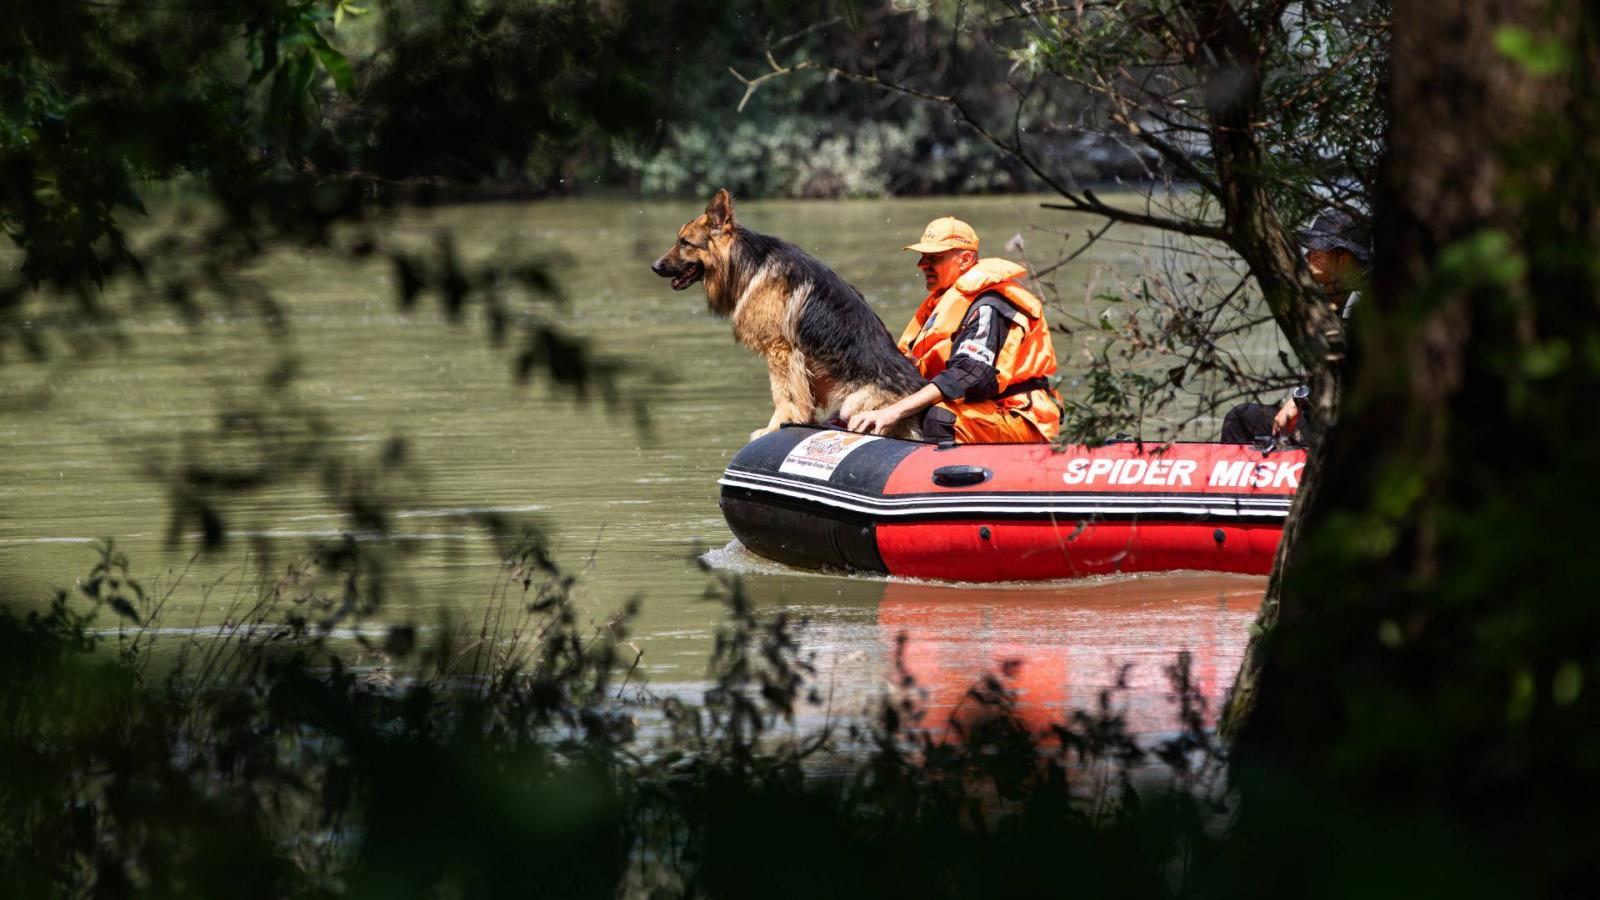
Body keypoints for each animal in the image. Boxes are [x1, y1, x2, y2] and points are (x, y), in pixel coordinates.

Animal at [649, 189, 928, 441]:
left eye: (684, 242)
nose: (654, 266)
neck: (750, 263)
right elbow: (802, 396)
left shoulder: (780, 349)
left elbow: (783, 393)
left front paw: (774, 426)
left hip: (854, 403)